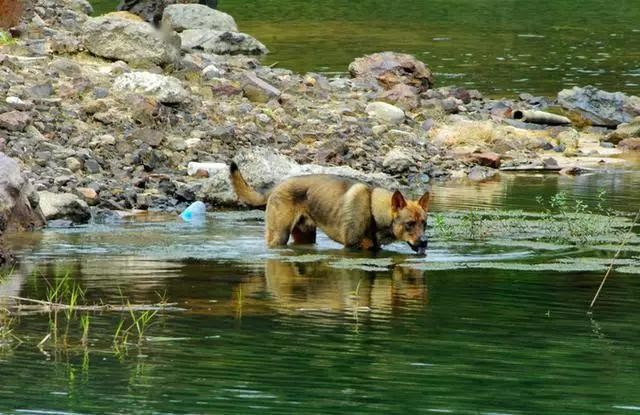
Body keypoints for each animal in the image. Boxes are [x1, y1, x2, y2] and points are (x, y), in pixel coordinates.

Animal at [228, 164, 432, 255]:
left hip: (305, 236)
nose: (424, 242)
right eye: (409, 224)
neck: (373, 209)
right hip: (279, 236)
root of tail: (276, 186)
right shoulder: (351, 248)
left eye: (424, 224)